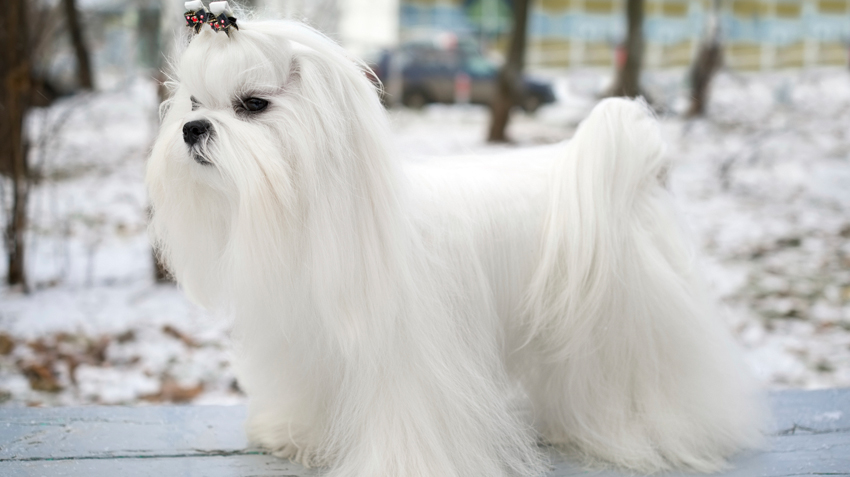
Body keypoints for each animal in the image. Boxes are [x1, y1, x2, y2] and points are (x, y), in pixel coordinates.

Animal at [149, 7, 764, 476]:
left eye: (254, 104)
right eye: (194, 103)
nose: (192, 129)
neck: (313, 215)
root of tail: (637, 171)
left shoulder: (406, 360)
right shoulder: (306, 341)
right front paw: (296, 435)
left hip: (629, 326)